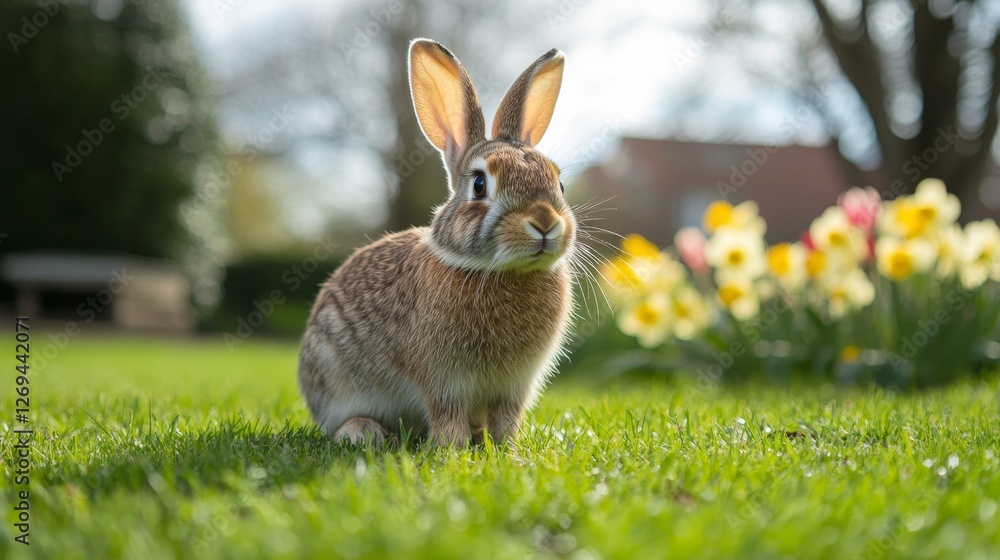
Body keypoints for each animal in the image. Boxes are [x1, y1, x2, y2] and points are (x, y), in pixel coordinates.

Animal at [298, 38, 575, 447]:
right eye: (479, 184)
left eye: (559, 183)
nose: (544, 222)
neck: (505, 272)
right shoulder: (443, 381)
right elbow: (447, 416)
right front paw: (452, 450)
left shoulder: (515, 387)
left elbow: (506, 420)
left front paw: (509, 450)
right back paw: (364, 432)